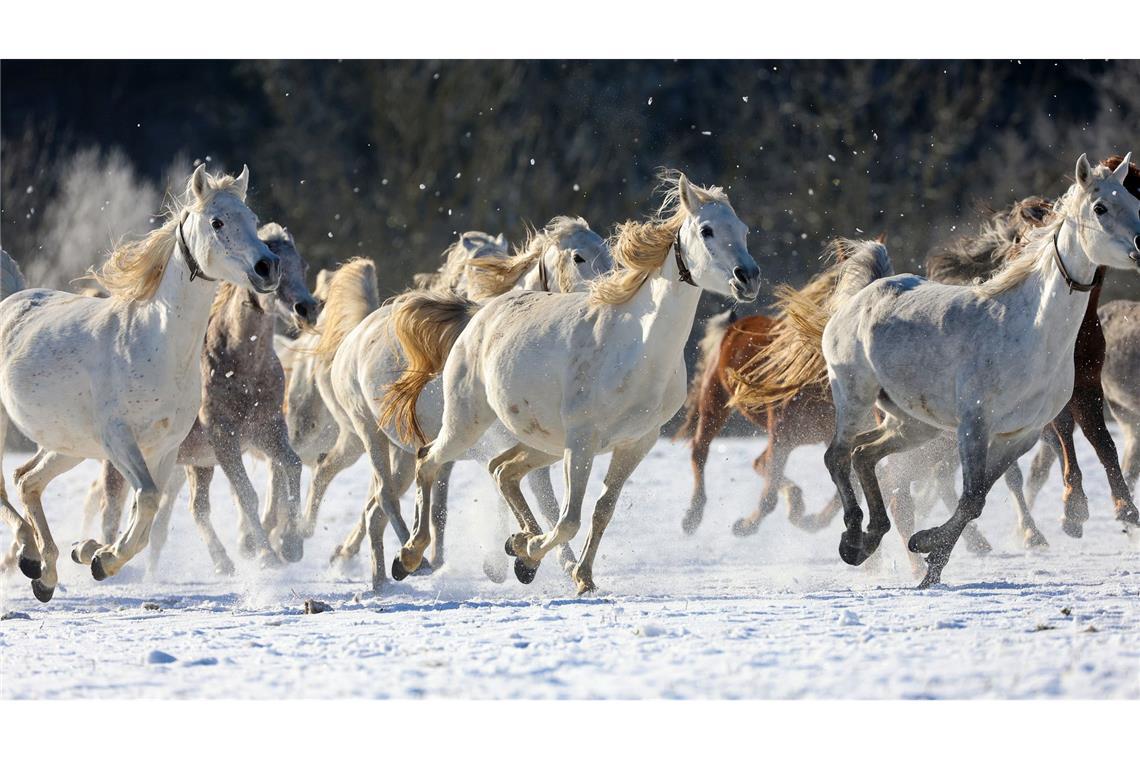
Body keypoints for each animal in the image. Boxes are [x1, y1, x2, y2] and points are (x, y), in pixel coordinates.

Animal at [0, 166, 280, 601]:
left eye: (252, 219)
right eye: (217, 222)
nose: (267, 267)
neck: (156, 342)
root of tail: (11, 300)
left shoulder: (164, 449)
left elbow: (146, 514)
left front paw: (93, 553)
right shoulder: (120, 439)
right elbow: (146, 500)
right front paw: (102, 559)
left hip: (68, 445)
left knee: (27, 481)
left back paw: (43, 573)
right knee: (9, 483)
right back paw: (32, 555)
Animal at [326, 214, 615, 587]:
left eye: (608, 251)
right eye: (578, 257)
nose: (610, 291)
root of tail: (357, 334)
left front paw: (522, 556)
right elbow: (543, 503)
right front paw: (533, 561)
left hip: (401, 450)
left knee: (376, 508)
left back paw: (381, 582)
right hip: (369, 433)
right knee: (387, 498)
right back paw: (413, 560)